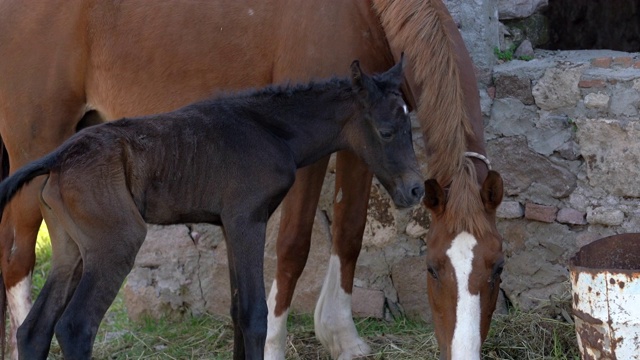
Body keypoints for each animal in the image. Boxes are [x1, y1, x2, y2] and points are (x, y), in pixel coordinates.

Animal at [0, 0, 502, 360]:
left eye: (497, 268)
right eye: (432, 269)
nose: (415, 188)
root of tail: (59, 161)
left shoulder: (343, 159)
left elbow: (347, 234)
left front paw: (344, 340)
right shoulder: (252, 215)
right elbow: (286, 259)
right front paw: (281, 346)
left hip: (73, 237)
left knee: (39, 325)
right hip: (53, 163)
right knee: (34, 277)